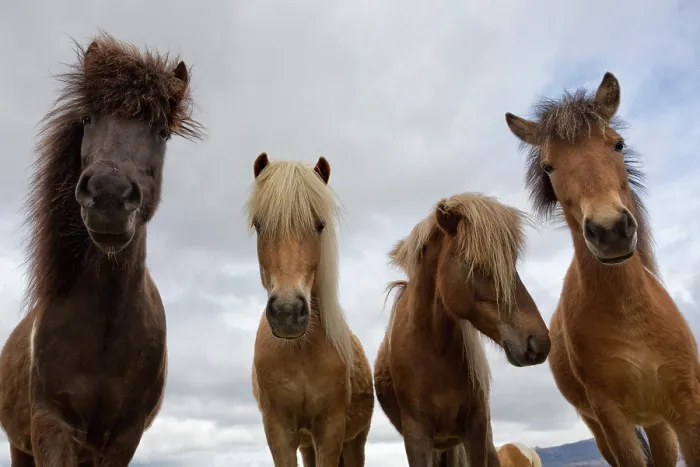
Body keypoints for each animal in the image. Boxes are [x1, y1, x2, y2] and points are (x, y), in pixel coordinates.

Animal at [0, 33, 203, 466]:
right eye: (89, 119)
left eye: (162, 133)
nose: (109, 196)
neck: (104, 331)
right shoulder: (51, 425)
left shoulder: (124, 437)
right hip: (20, 446)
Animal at [246, 153, 374, 467]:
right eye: (259, 224)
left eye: (320, 225)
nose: (287, 311)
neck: (299, 352)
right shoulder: (279, 430)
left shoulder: (330, 429)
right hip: (307, 446)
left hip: (355, 442)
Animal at [374, 192, 552, 467]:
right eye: (471, 263)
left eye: (511, 263)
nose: (539, 343)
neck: (433, 353)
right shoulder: (417, 436)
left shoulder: (477, 427)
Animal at [505, 71, 700, 466]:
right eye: (548, 166)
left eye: (618, 145)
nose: (610, 230)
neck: (631, 315)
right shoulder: (611, 419)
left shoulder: (687, 409)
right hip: (600, 427)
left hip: (658, 424)